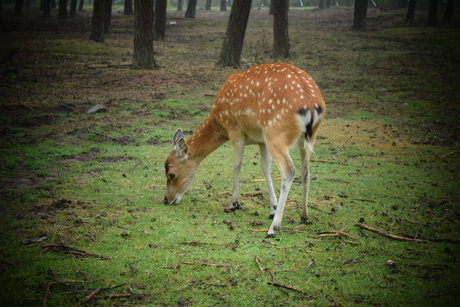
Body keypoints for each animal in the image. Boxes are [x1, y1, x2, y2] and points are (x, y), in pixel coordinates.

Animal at [164, 63, 326, 238]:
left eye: (171, 174)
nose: (166, 200)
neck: (219, 121)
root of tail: (312, 106)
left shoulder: (235, 129)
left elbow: (237, 164)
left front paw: (233, 204)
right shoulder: (261, 140)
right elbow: (265, 168)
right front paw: (272, 208)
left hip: (275, 133)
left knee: (289, 170)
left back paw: (273, 229)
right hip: (307, 138)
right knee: (306, 172)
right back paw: (305, 216)